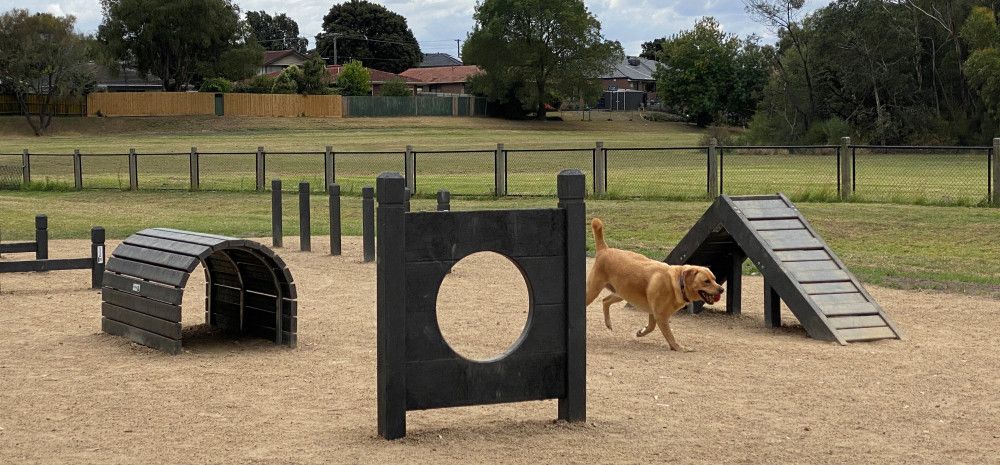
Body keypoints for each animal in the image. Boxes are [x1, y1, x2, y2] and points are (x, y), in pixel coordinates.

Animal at [584, 219, 724, 350]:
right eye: (706, 281)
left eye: (715, 279)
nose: (722, 289)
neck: (677, 284)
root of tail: (604, 249)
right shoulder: (660, 315)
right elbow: (669, 335)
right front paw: (678, 347)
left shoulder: (653, 312)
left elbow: (651, 327)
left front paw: (640, 332)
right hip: (594, 290)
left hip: (622, 292)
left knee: (605, 301)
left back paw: (608, 323)